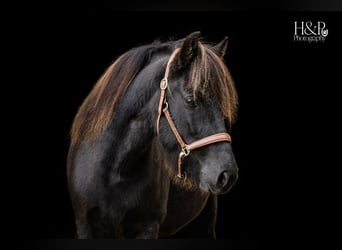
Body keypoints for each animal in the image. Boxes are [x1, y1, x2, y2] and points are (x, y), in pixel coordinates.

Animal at [66, 31, 238, 238]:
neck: (113, 171)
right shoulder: (86, 226)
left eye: (222, 105)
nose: (227, 174)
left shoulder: (146, 226)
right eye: (190, 99)